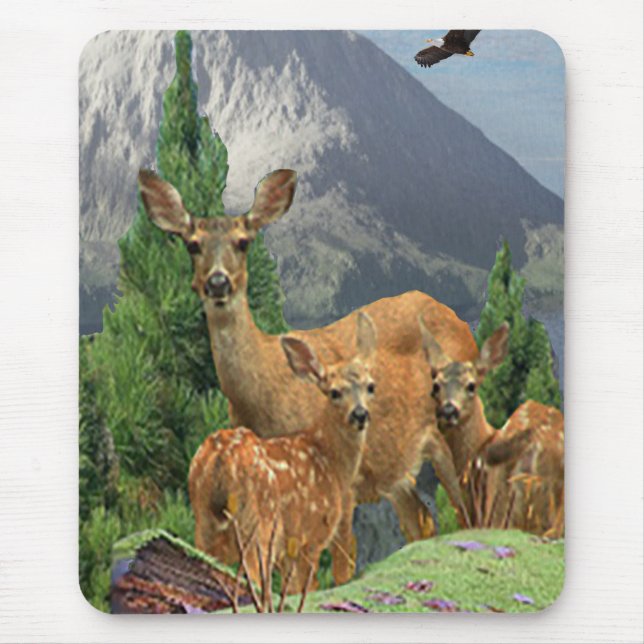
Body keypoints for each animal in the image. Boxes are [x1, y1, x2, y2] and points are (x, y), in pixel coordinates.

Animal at [188, 313, 377, 594]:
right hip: (258, 522)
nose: (360, 414)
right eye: (334, 392)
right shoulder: (310, 534)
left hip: (203, 522)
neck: (330, 460)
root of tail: (221, 458)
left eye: (370, 386)